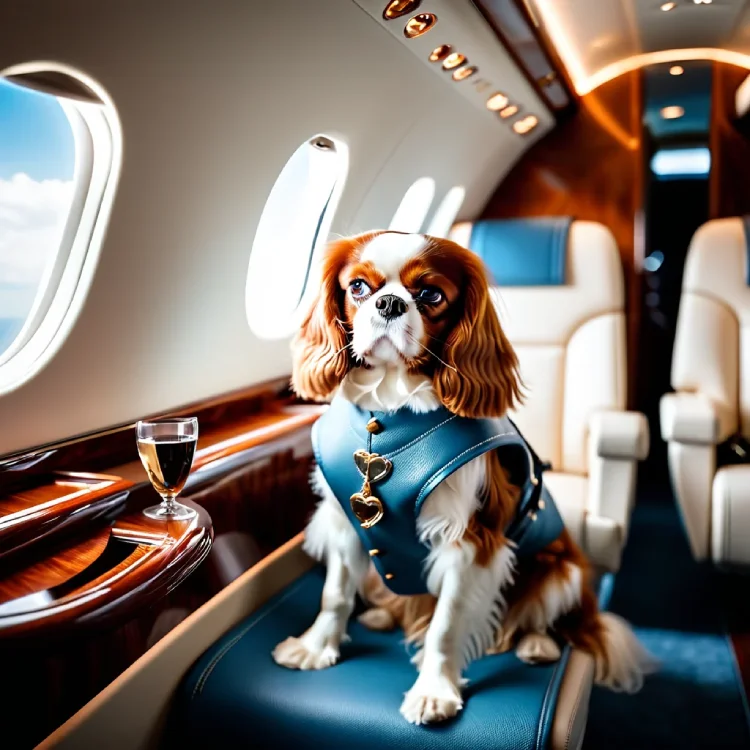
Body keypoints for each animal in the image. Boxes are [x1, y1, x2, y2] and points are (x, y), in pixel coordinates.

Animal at [274, 231, 656, 728]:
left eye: (431, 295)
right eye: (357, 287)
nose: (389, 303)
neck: (389, 415)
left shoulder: (471, 540)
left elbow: (446, 623)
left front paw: (433, 691)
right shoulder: (346, 525)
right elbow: (335, 595)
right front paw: (315, 647)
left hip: (563, 570)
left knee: (548, 618)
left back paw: (538, 644)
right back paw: (382, 616)